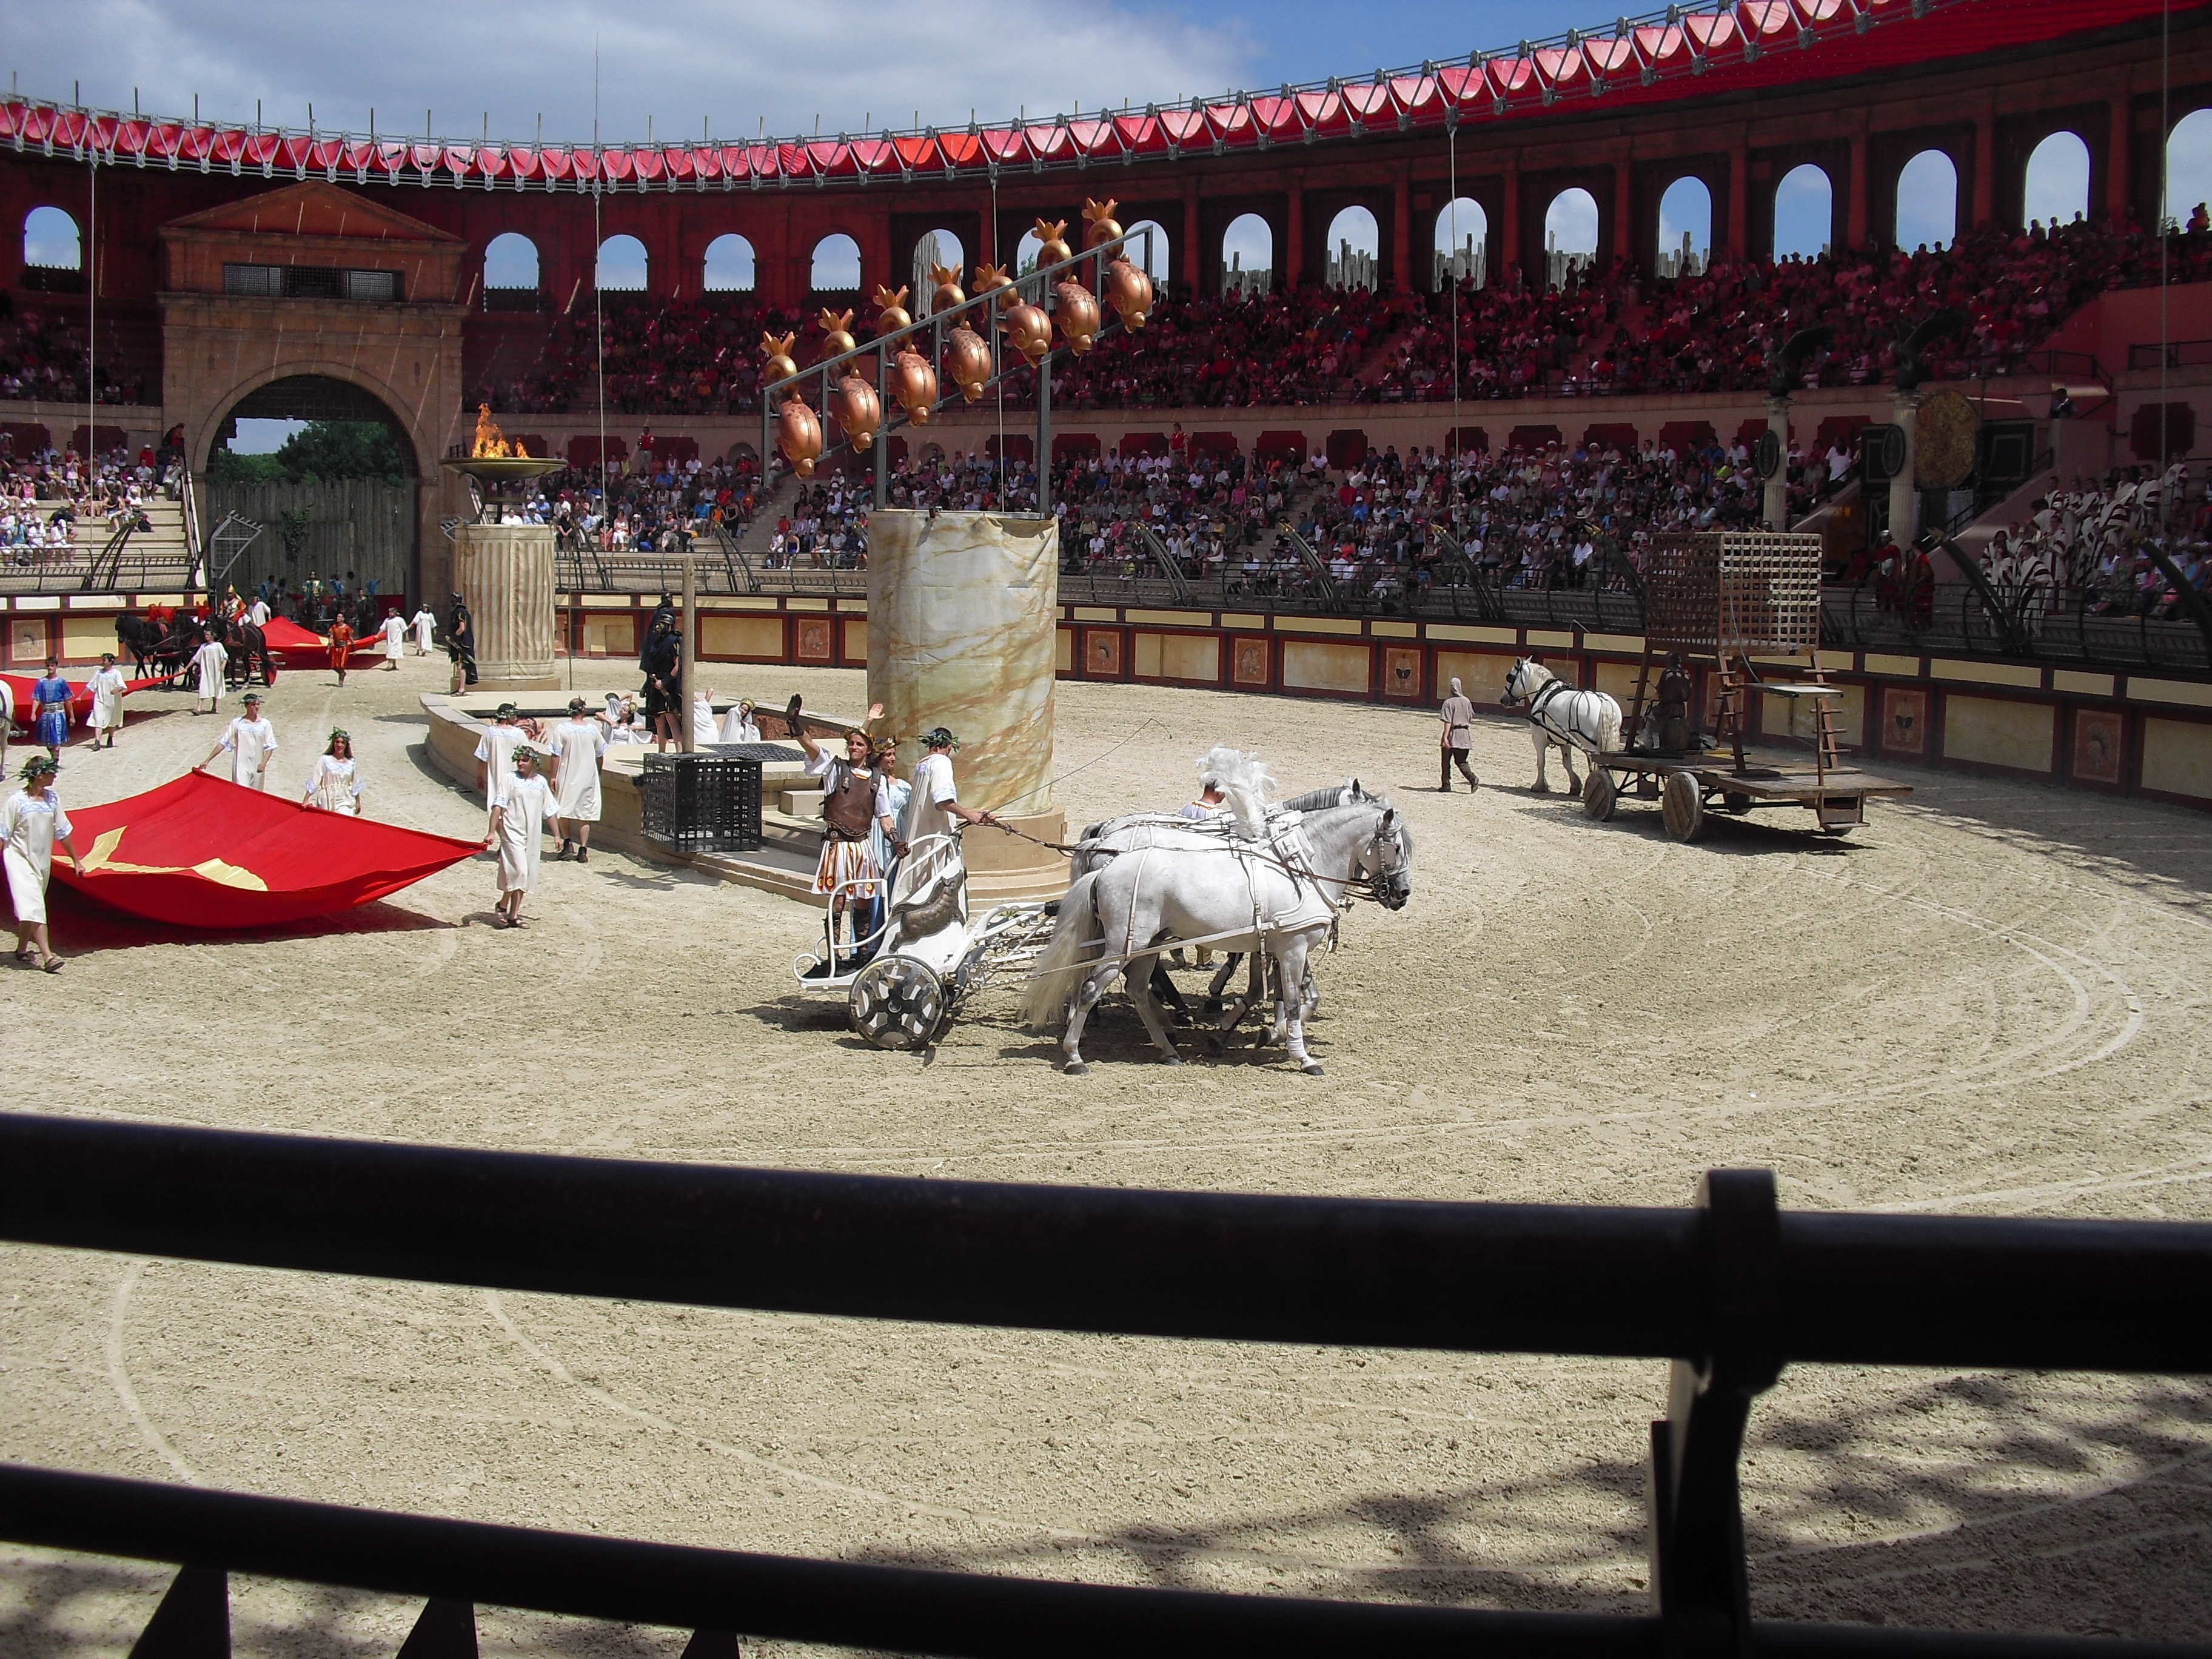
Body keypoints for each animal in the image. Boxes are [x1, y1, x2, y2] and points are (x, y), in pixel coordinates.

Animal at [1022, 800, 1407, 1079]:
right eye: (1399, 847)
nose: (1402, 894)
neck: (1298, 867)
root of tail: (1106, 863)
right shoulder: (1293, 948)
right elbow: (1294, 1003)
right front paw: (1302, 1057)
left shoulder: (1278, 948)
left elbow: (1289, 997)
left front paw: (1254, 1032)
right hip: (1124, 945)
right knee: (1091, 988)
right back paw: (1075, 1055)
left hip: (1148, 944)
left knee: (1136, 989)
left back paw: (1168, 1048)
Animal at [1504, 659, 1627, 796]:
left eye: (1510, 677)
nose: (1503, 699)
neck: (1544, 694)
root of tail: (1604, 702)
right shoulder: (1565, 740)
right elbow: (1567, 763)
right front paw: (1575, 786)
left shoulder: (1538, 737)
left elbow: (1541, 762)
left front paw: (1539, 786)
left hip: (1591, 745)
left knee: (1595, 765)